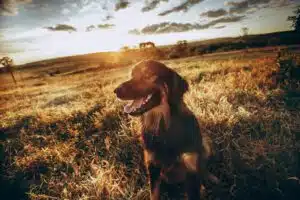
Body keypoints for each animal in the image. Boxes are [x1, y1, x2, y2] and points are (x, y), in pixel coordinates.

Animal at [113, 60, 218, 199]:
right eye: (131, 75)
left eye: (148, 74)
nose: (116, 91)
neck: (164, 125)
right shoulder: (153, 167)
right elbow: (154, 194)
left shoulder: (191, 167)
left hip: (205, 144)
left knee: (202, 167)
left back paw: (210, 178)